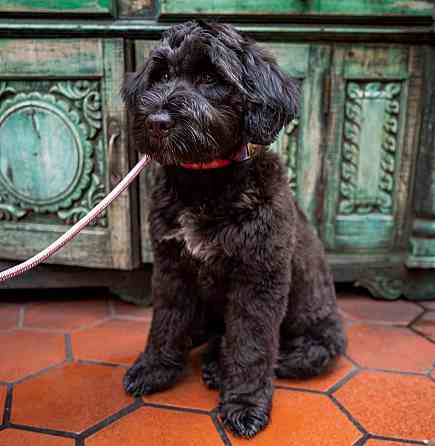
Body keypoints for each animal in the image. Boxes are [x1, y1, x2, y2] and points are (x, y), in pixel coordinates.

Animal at [122, 21, 348, 440]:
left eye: (211, 78)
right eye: (161, 76)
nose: (157, 122)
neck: (205, 184)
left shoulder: (258, 280)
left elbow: (251, 346)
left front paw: (244, 404)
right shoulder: (171, 268)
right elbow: (165, 321)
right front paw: (155, 368)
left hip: (315, 341)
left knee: (283, 355)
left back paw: (218, 367)